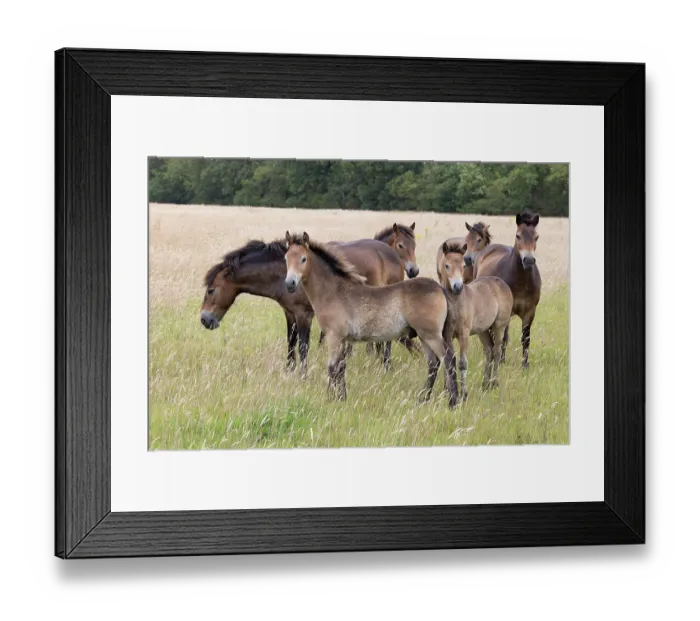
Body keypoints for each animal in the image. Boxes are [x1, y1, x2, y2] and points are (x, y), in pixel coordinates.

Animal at [200, 240, 315, 372]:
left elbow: (303, 347)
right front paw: (289, 371)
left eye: (211, 290)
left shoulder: (304, 315)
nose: (204, 319)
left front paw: (303, 375)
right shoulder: (290, 312)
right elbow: (291, 341)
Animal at [284, 232, 459, 408]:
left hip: (431, 335)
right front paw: (342, 397)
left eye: (303, 259)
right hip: (424, 336)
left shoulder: (334, 336)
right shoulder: (342, 339)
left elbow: (332, 367)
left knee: (448, 359)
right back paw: (423, 399)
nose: (290, 283)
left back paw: (452, 402)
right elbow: (341, 366)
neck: (334, 292)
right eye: (286, 258)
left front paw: (330, 399)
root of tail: (440, 289)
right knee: (433, 364)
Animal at [438, 241, 513, 400]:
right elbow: (449, 360)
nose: (458, 287)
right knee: (489, 350)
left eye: (463, 265)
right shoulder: (447, 336)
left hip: (499, 326)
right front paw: (447, 391)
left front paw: (464, 394)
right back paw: (485, 384)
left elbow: (462, 363)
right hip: (482, 331)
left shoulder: (464, 334)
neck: (455, 304)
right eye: (447, 265)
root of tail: (501, 283)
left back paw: (494, 382)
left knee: (497, 351)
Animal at [473, 211, 542, 368]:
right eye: (518, 236)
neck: (521, 280)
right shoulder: (507, 311)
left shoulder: (530, 312)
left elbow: (525, 339)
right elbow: (503, 336)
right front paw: (501, 361)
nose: (529, 260)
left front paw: (525, 365)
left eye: (536, 237)